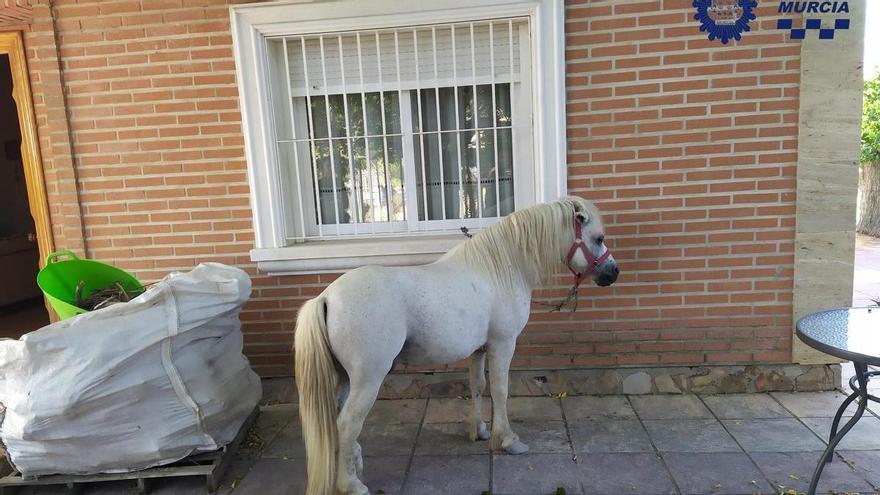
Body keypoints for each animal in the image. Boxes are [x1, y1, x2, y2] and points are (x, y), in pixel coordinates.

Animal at [294, 196, 620, 494]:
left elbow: (477, 386)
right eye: (598, 238)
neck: (498, 269)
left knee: (336, 421)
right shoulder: (503, 344)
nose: (613, 273)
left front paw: (480, 431)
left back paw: (354, 464)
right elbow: (500, 390)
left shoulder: (479, 350)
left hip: (344, 378)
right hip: (368, 378)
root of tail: (326, 297)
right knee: (347, 423)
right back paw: (352, 485)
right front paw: (508, 440)